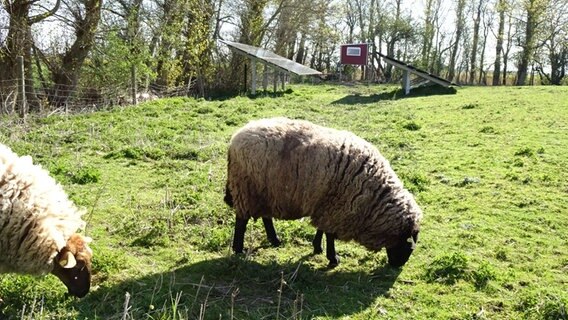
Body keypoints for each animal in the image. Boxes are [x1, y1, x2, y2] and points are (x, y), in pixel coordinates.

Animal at [224, 117, 424, 268]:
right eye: (409, 248)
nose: (397, 266)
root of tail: (235, 139)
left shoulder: (326, 204)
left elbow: (322, 229)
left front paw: (318, 248)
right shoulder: (335, 207)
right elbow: (330, 234)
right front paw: (332, 257)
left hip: (267, 192)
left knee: (266, 216)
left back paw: (275, 239)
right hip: (246, 189)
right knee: (241, 221)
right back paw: (239, 249)